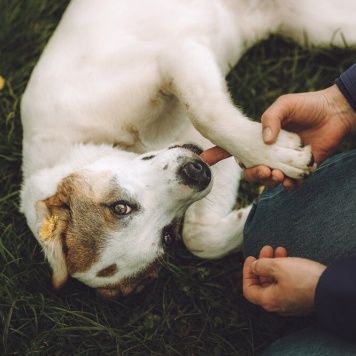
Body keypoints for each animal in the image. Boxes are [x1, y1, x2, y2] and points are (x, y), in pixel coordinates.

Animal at [20, 0, 356, 298]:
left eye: (119, 207)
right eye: (167, 237)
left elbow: (205, 112)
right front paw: (249, 218)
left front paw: (274, 154)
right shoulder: (211, 155)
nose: (197, 172)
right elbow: (199, 238)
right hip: (321, 27)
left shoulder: (177, 55)